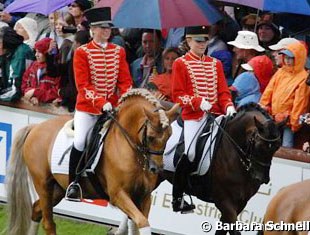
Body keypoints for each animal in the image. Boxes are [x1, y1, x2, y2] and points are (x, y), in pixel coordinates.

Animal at [4, 88, 179, 235]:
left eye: (169, 136)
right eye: (150, 137)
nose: (156, 169)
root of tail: (35, 127)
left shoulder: (143, 197)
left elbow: (139, 224)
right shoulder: (118, 195)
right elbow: (142, 223)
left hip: (57, 189)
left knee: (36, 210)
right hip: (43, 184)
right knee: (48, 223)